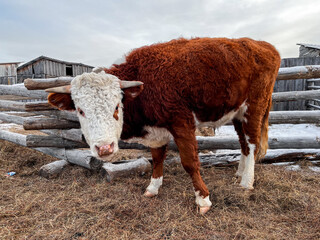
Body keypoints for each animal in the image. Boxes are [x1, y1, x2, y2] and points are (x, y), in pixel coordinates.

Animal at [46, 37, 282, 214]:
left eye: (116, 106)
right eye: (80, 110)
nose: (104, 148)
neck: (145, 84)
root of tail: (263, 45)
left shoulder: (182, 122)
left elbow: (190, 162)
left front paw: (203, 200)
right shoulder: (155, 132)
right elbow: (157, 159)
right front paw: (153, 188)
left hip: (255, 107)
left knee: (252, 143)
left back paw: (247, 182)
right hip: (238, 113)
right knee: (243, 144)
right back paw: (240, 174)